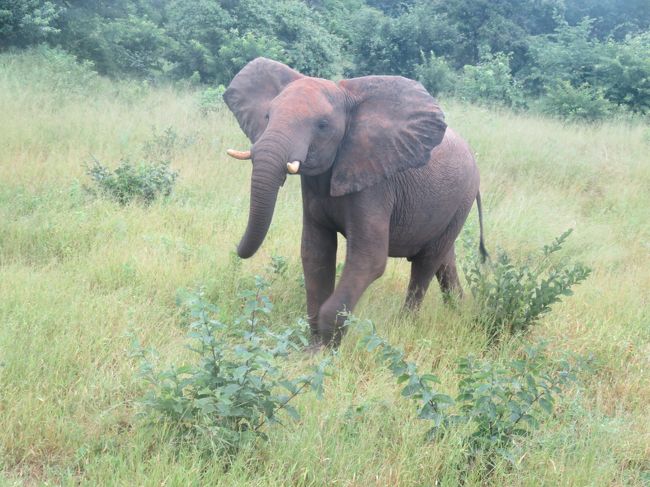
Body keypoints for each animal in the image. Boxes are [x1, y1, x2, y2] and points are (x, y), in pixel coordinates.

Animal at [223, 58, 486, 346]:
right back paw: (459, 309)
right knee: (444, 258)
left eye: (323, 125)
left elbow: (369, 258)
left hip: (461, 199)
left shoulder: (375, 185)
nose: (236, 248)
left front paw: (326, 347)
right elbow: (315, 252)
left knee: (426, 262)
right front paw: (314, 344)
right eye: (267, 116)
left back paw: (406, 322)